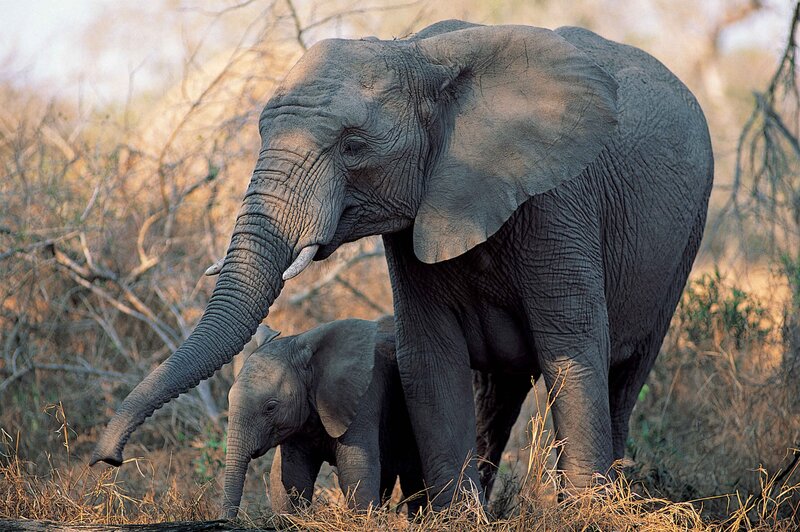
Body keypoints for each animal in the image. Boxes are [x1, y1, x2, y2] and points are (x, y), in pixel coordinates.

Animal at [221, 317, 427, 518]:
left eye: (270, 407)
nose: (226, 520)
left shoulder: (360, 398)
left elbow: (355, 471)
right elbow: (292, 473)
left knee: (413, 479)